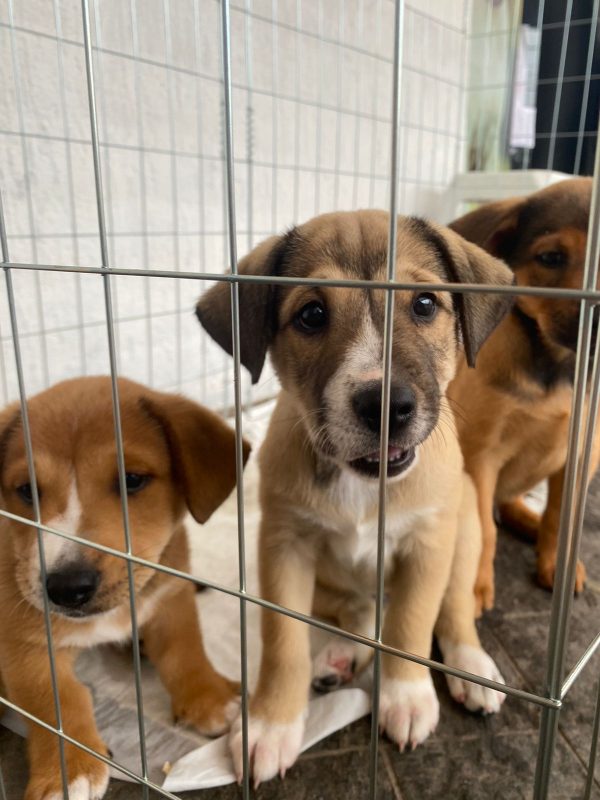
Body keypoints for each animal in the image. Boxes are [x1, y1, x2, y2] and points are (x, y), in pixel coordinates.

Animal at [0, 376, 250, 800]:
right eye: (27, 490)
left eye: (132, 480)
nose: (67, 588)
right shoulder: (24, 645)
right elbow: (55, 700)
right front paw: (68, 771)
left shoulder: (170, 599)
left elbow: (185, 650)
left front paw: (210, 698)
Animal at [196, 209, 510, 784]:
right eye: (312, 315)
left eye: (424, 304)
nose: (386, 406)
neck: (362, 483)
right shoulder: (284, 548)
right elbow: (283, 642)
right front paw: (272, 723)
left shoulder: (428, 545)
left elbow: (412, 623)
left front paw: (406, 696)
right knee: (359, 609)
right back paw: (340, 657)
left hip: (466, 531)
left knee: (452, 608)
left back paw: (471, 667)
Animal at [450, 177, 596, 612]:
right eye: (550, 258)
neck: (557, 367)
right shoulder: (481, 456)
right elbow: (484, 529)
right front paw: (476, 587)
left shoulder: (582, 458)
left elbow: (558, 518)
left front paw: (556, 566)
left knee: (514, 508)